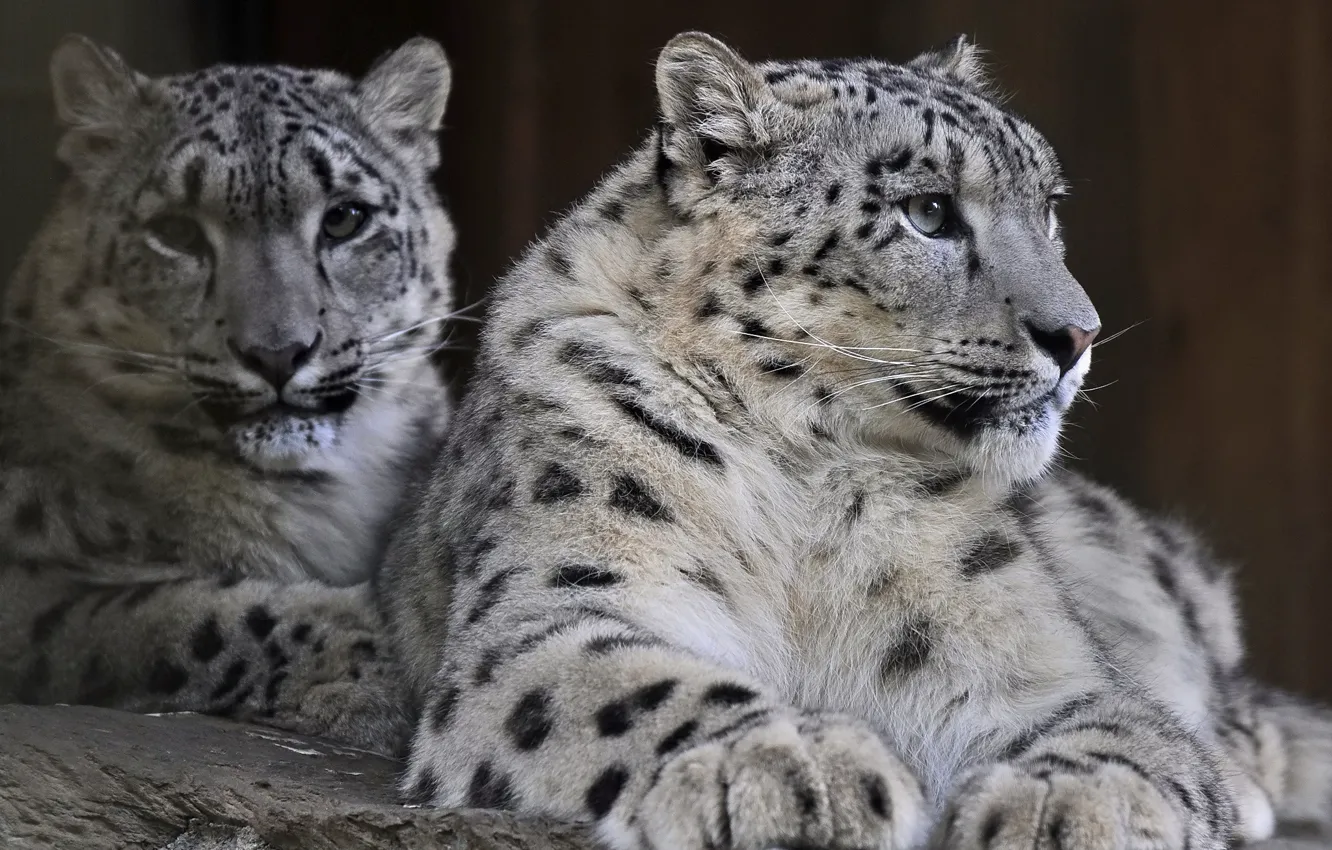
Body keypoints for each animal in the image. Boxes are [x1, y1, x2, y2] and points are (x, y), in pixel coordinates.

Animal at [0, 33, 460, 756]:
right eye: (177, 231)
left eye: (345, 218)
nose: (278, 352)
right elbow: (167, 618)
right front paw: (375, 669)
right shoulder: (29, 593)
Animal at [379, 31, 1332, 849]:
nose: (1079, 334)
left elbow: (1119, 730)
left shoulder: (1032, 659)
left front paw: (1071, 805)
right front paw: (794, 763)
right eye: (929, 212)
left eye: (1049, 207)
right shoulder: (554, 609)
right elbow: (634, 686)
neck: (805, 480)